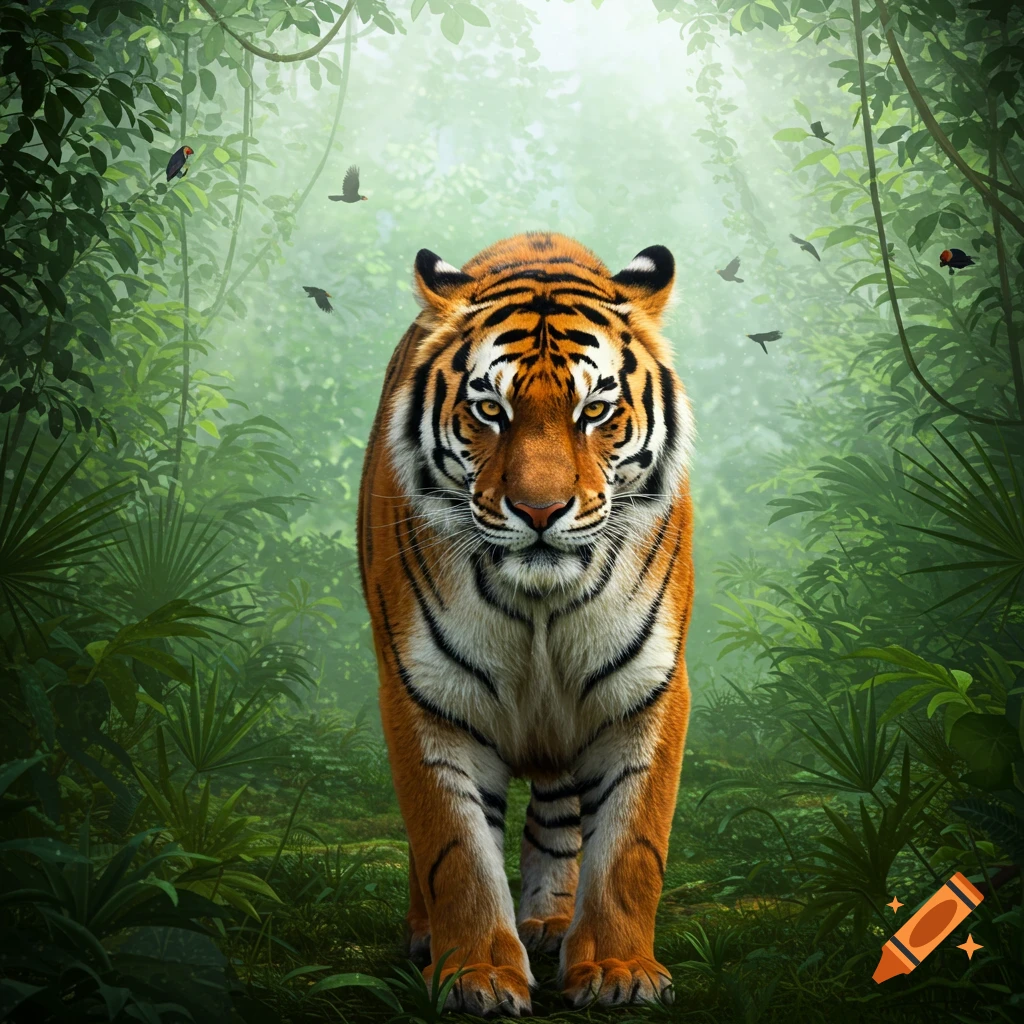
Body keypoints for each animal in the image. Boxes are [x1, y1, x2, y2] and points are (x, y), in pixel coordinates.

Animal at [356, 231, 695, 1016]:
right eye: (490, 410)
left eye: (594, 411)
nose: (540, 511)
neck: (541, 602)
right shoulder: (425, 697)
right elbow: (455, 852)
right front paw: (476, 976)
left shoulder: (646, 691)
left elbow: (630, 846)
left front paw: (619, 969)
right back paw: (428, 937)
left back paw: (549, 921)